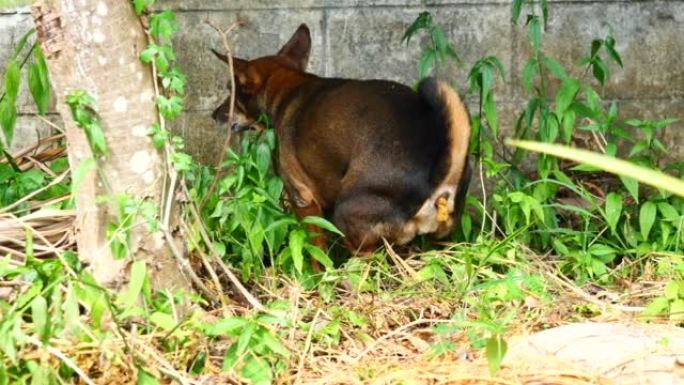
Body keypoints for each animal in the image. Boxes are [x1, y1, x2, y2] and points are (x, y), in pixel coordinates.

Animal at [212, 23, 470, 252]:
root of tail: (436, 180)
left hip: (348, 218)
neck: (287, 87)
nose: (214, 115)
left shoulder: (303, 201)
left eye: (231, 91)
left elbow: (315, 253)